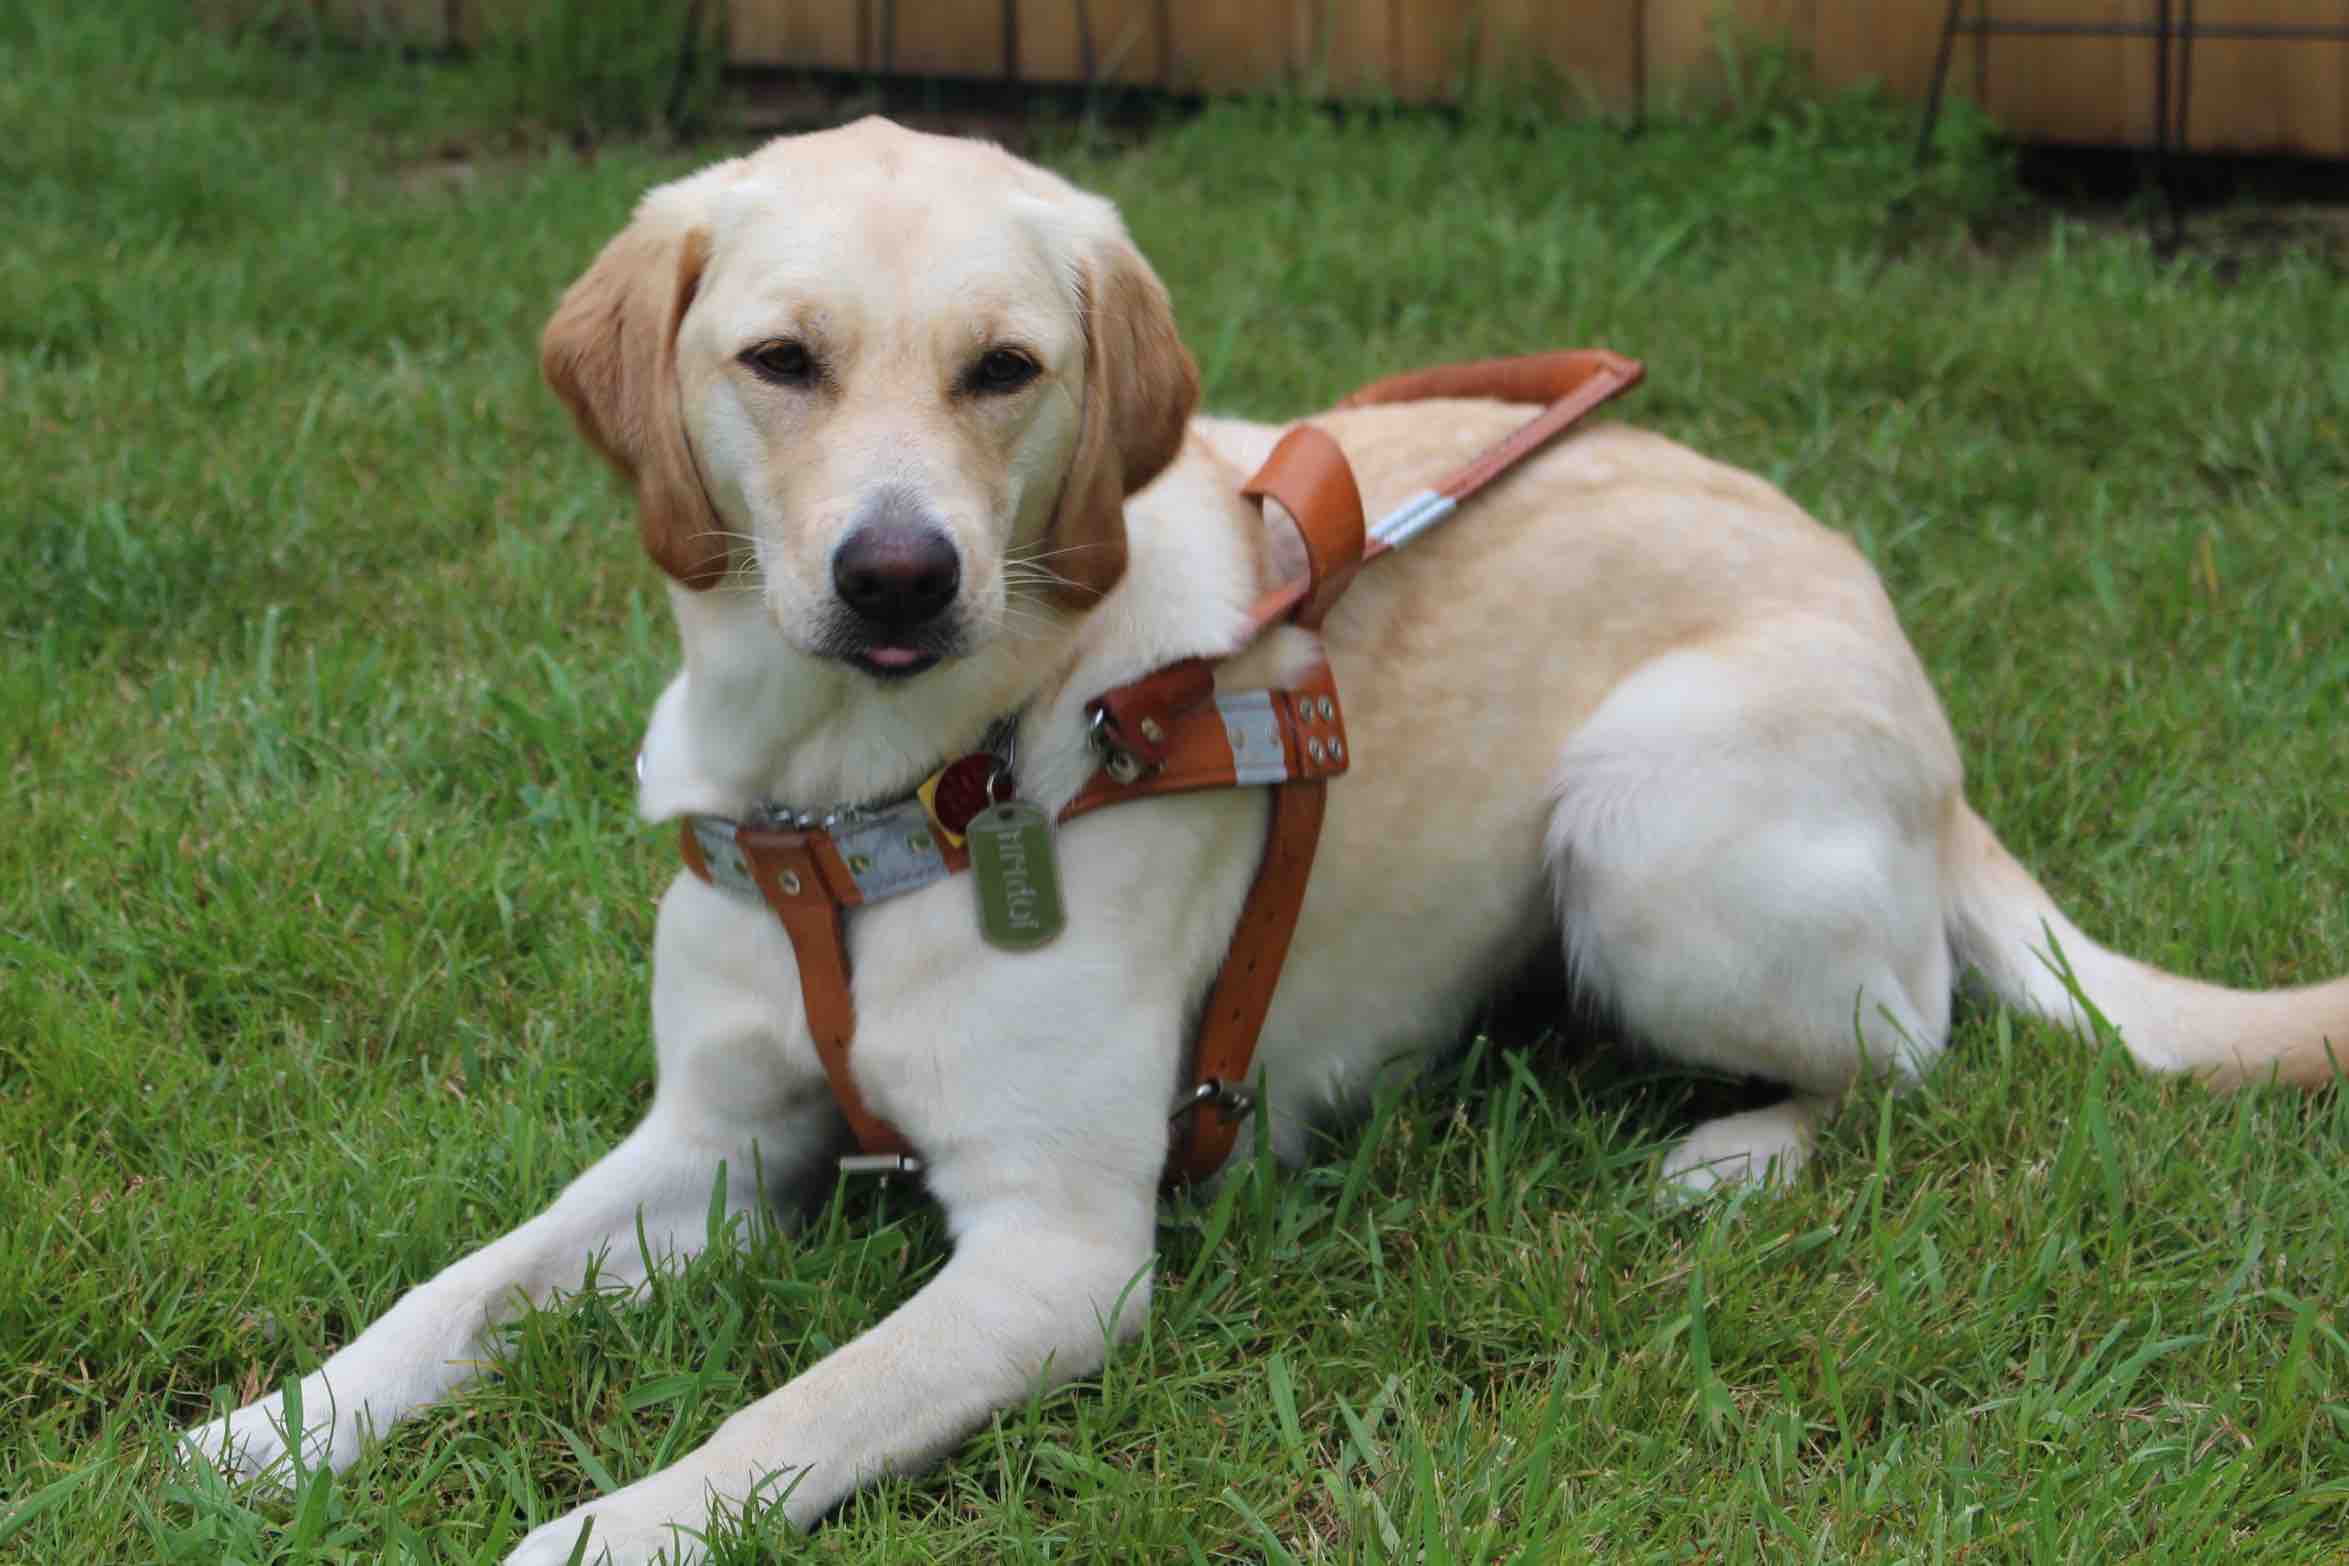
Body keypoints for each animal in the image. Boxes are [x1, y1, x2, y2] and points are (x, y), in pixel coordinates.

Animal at [187, 116, 2349, 1558]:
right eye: (777, 362)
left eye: (1004, 369)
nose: (897, 576)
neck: (878, 789)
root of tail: (1911, 683)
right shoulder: (701, 1152)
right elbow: (457, 1290)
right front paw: (283, 1425)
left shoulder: (1055, 1257)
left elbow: (790, 1413)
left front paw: (604, 1524)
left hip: (1644, 827)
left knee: (1910, 1043)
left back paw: (1732, 1151)